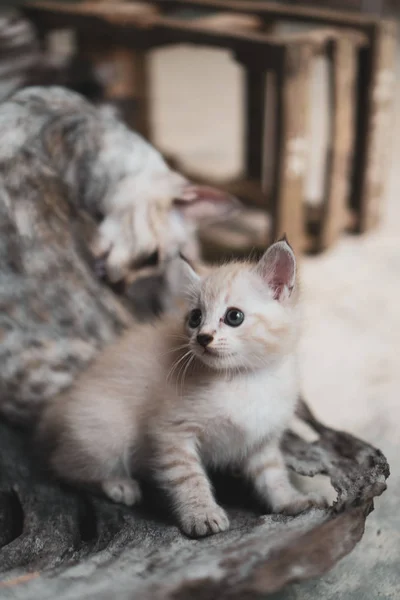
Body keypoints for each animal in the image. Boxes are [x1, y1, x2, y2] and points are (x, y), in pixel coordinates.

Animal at [37, 240, 326, 540]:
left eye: (234, 316)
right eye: (195, 318)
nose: (203, 338)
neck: (246, 378)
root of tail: (61, 405)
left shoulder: (262, 440)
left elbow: (273, 476)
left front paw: (291, 501)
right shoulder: (172, 432)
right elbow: (189, 478)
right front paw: (202, 515)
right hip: (107, 433)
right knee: (63, 466)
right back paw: (118, 484)